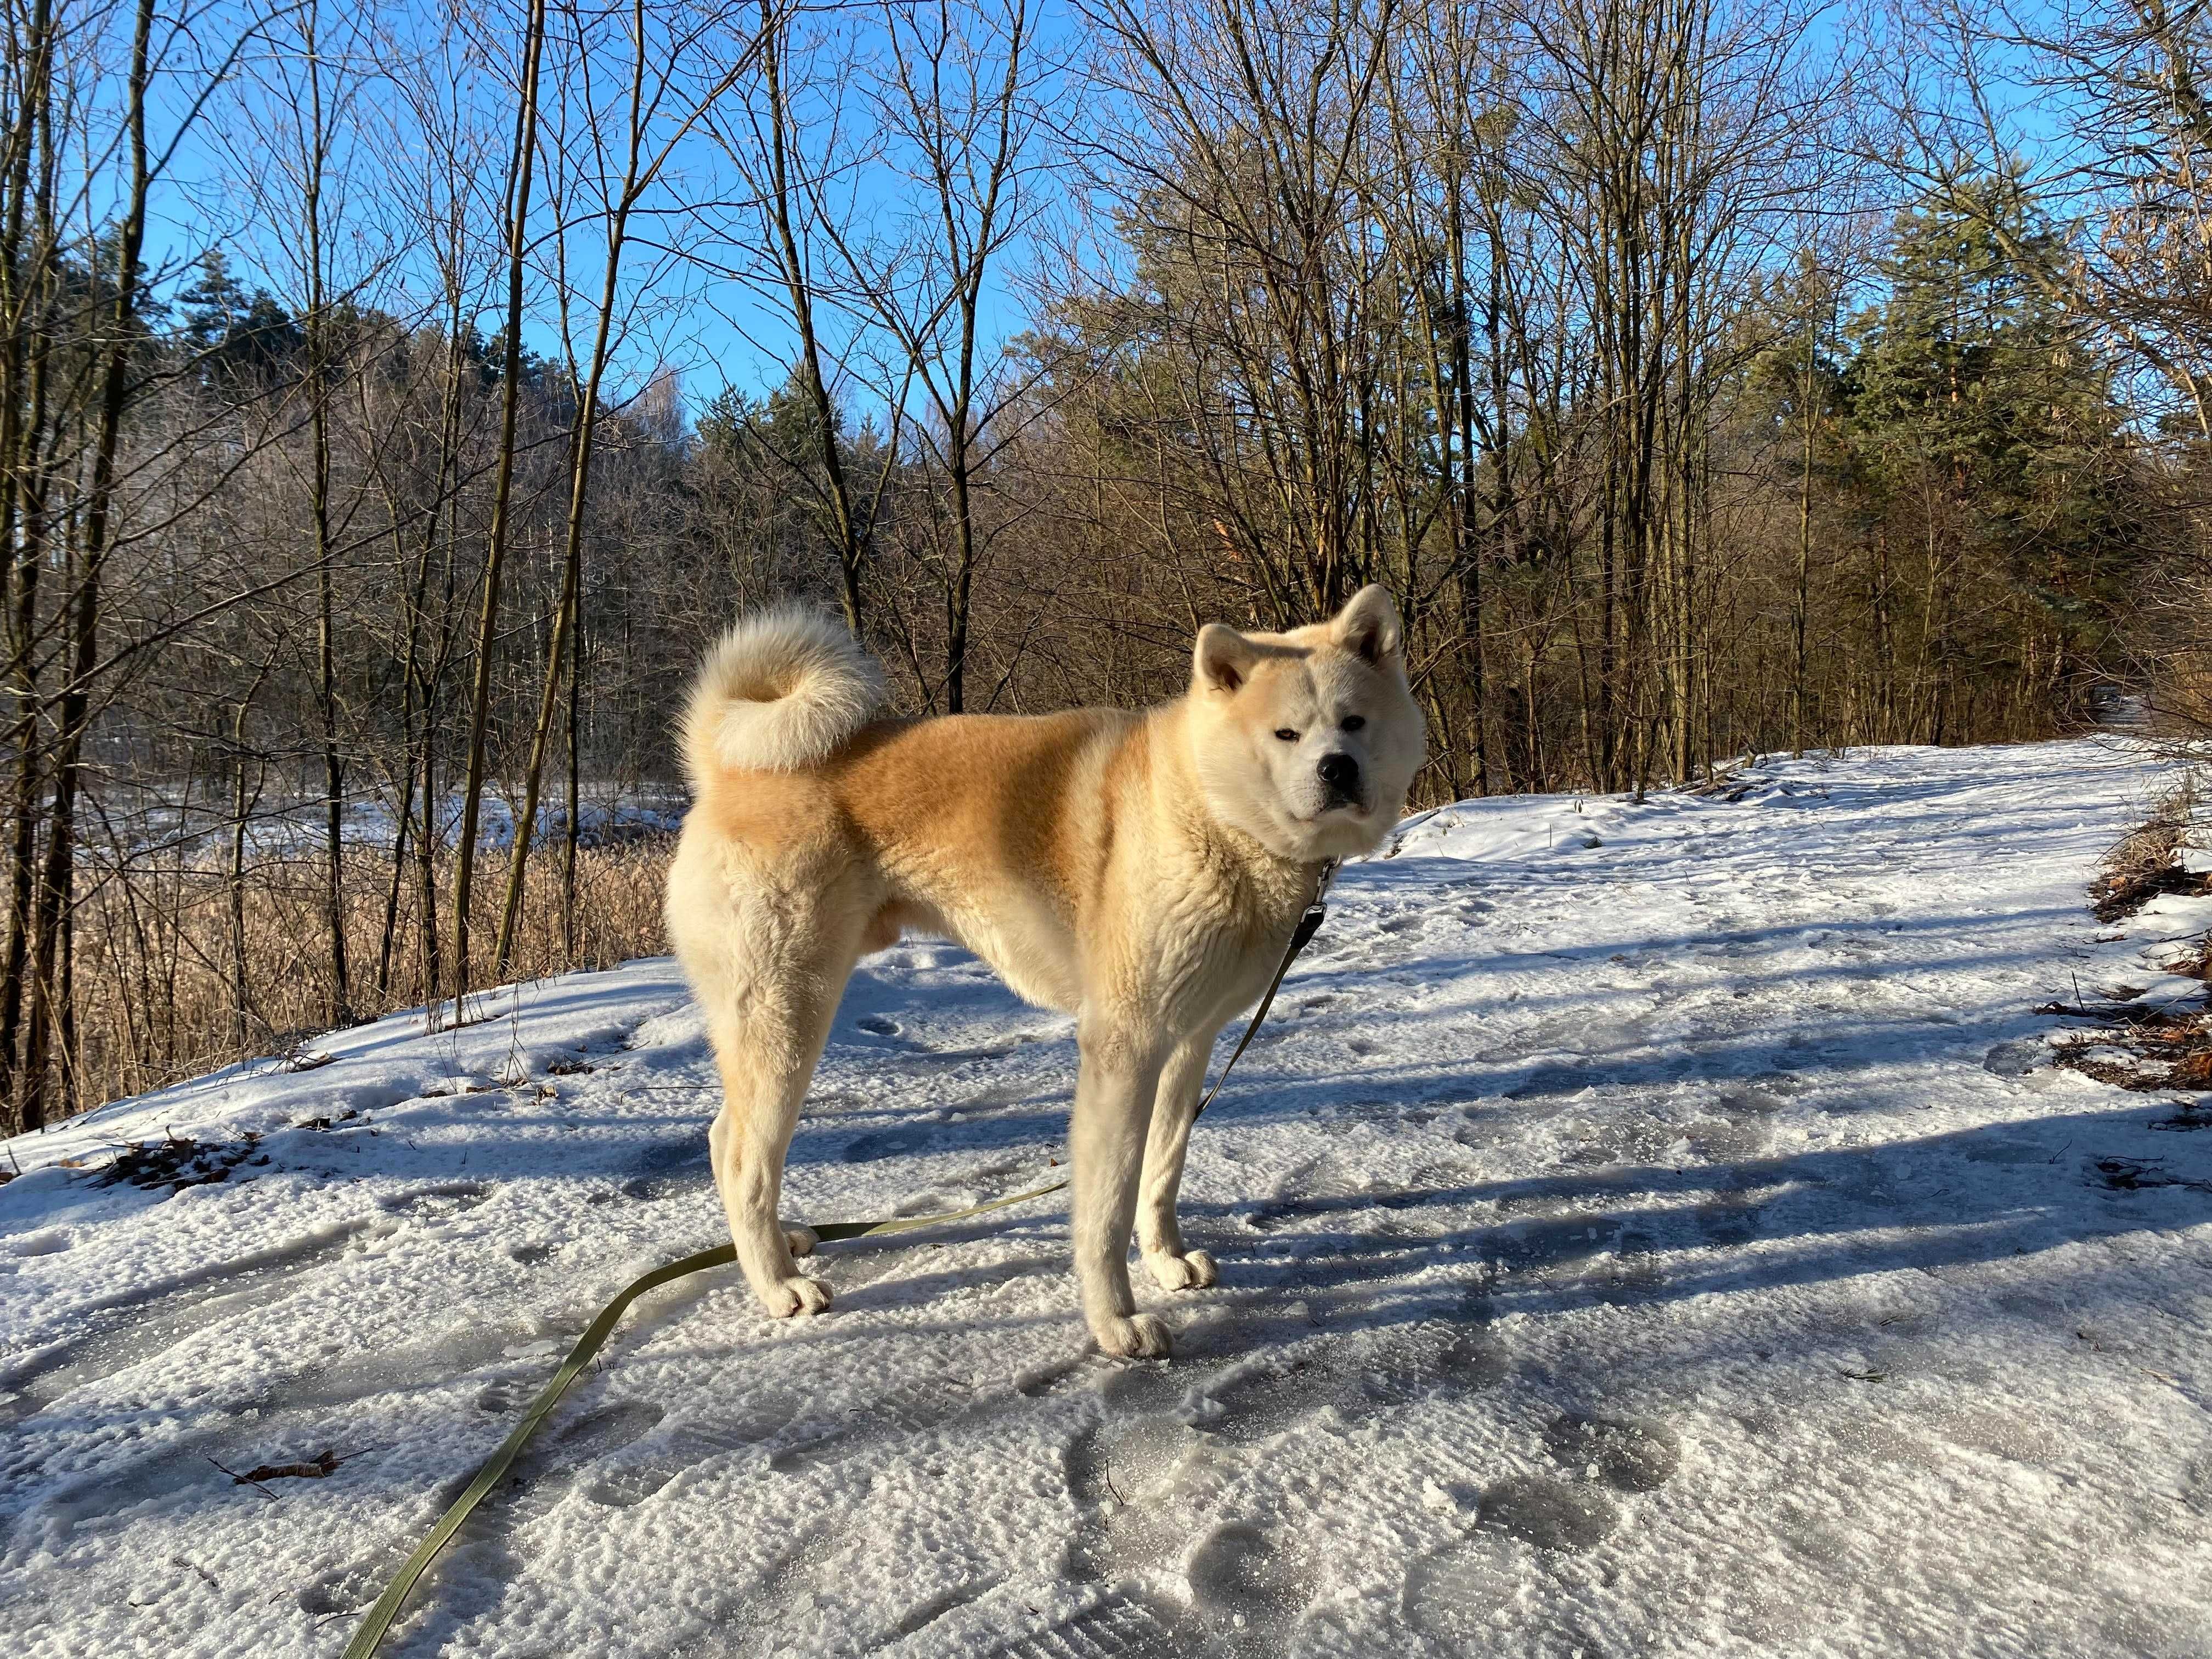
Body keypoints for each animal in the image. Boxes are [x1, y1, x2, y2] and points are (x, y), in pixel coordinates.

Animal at [663, 592, 1424, 1353]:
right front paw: (1116, 1322)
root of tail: (724, 768)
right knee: (742, 1155)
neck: (1207, 811)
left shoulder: (1188, 1044)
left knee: (726, 1141)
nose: (1337, 769)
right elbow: (1109, 1205)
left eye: (1354, 722)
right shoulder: (1125, 1049)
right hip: (790, 1018)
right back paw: (777, 1285)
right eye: (1286, 733)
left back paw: (783, 1245)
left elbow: (1162, 1170)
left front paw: (1167, 1262)